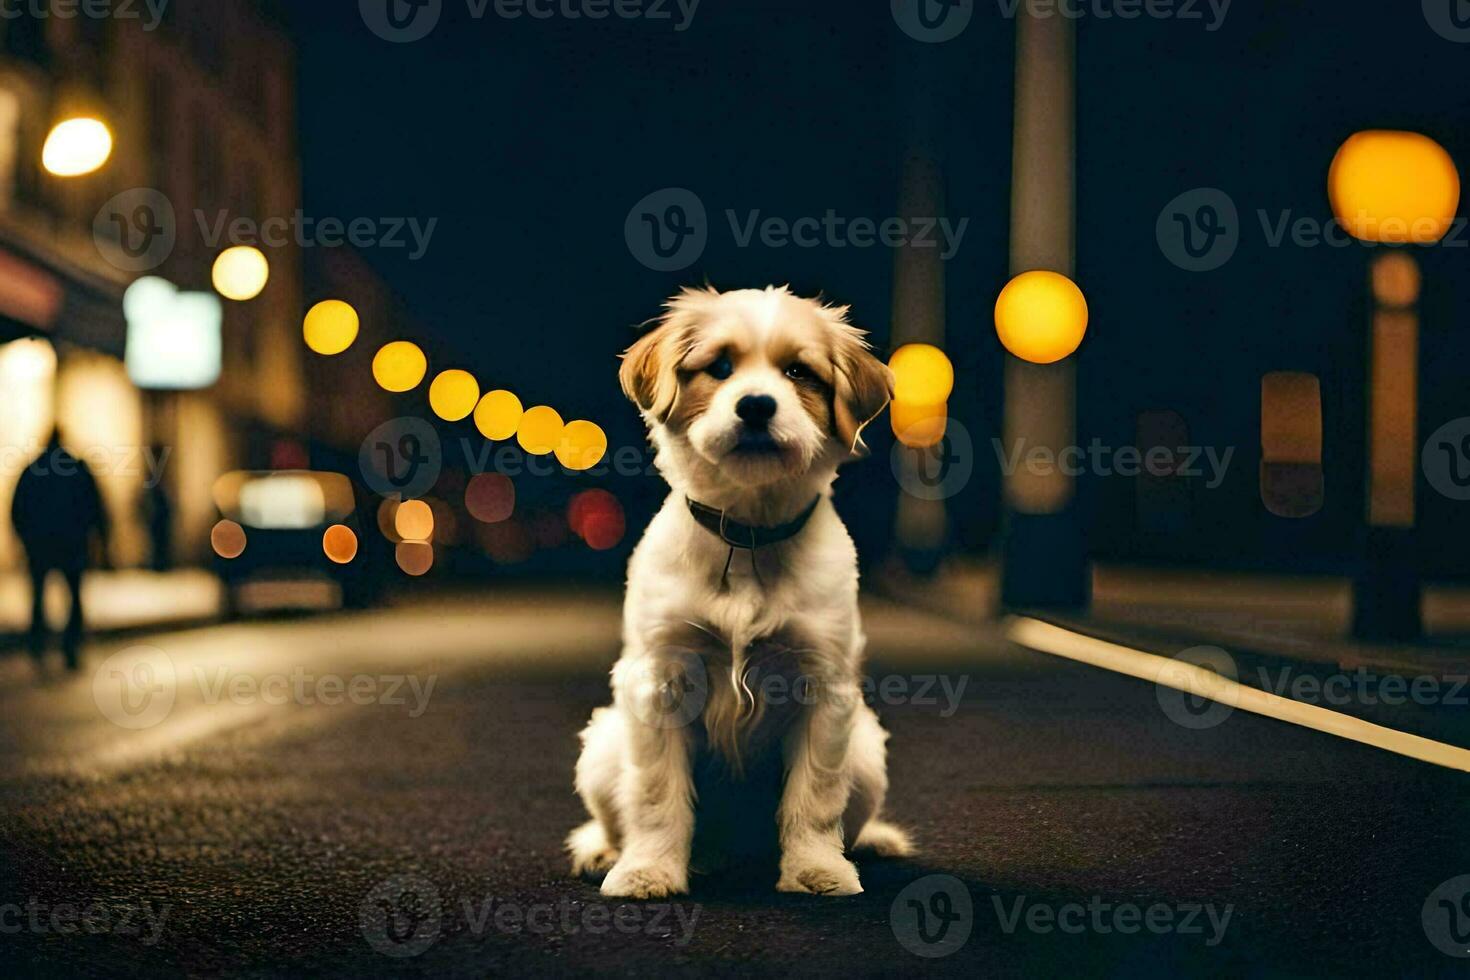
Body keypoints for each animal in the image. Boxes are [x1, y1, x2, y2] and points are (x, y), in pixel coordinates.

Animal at [567, 282, 911, 899]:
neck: (748, 533)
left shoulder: (824, 687)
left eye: (799, 371)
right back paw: (607, 851)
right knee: (619, 813)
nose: (755, 405)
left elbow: (814, 798)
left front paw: (816, 870)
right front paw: (648, 870)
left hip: (868, 752)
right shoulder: (658, 680)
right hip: (603, 745)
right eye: (720, 367)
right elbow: (656, 797)